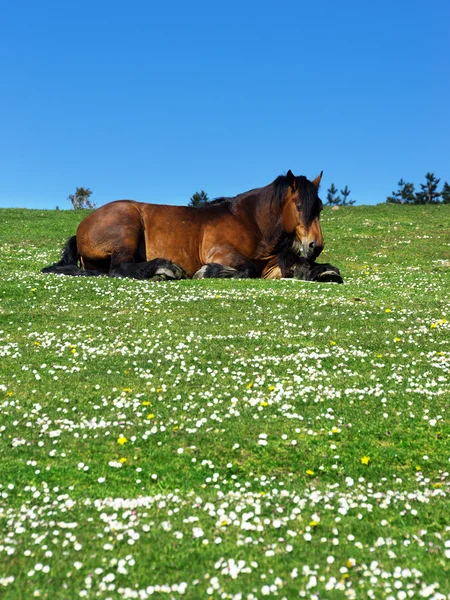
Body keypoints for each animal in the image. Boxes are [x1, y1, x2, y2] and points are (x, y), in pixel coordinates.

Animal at [42, 170, 326, 280]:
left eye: (320, 207)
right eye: (299, 206)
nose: (316, 245)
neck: (249, 222)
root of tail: (82, 227)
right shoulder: (221, 252)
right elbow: (247, 269)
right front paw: (208, 271)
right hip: (127, 227)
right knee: (120, 268)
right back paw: (165, 268)